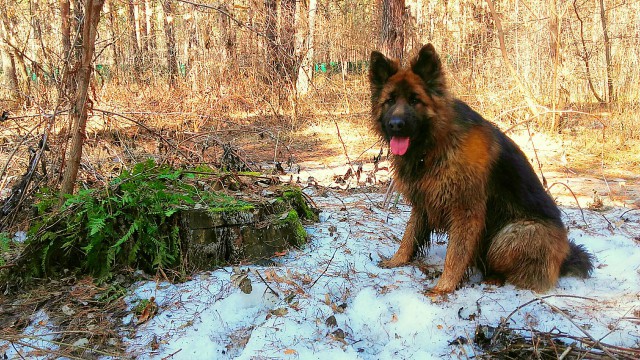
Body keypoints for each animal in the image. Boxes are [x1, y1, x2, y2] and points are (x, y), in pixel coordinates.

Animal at [370, 44, 596, 292]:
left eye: (414, 100)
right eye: (390, 101)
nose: (396, 125)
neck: (436, 144)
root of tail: (563, 259)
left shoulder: (466, 213)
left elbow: (455, 255)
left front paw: (443, 288)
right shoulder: (424, 202)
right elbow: (409, 236)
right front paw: (396, 260)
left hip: (513, 235)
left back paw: (493, 278)